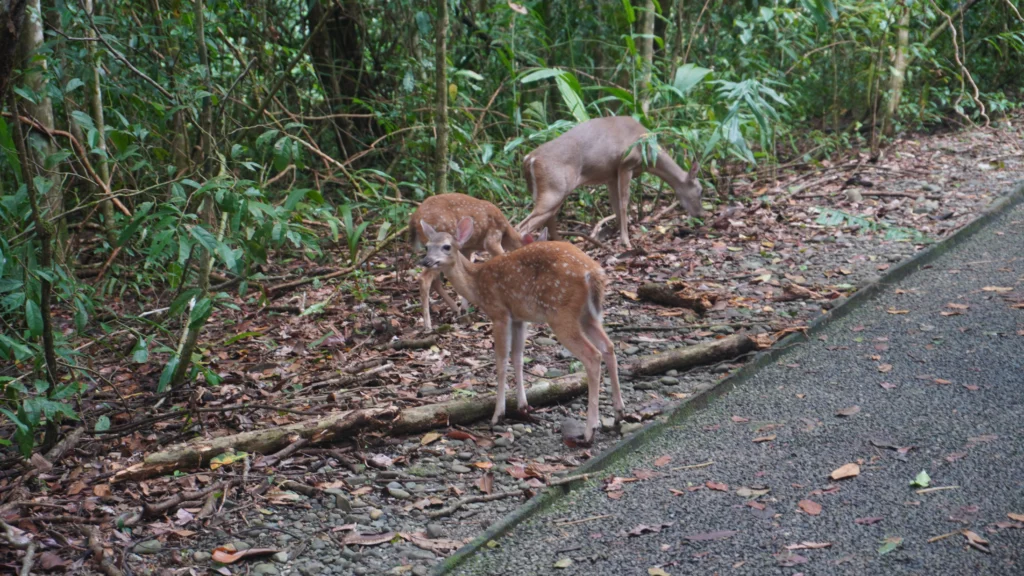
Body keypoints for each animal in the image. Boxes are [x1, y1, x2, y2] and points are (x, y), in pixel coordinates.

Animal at [409, 191, 544, 330]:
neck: (507, 233)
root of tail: (414, 218)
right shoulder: (492, 239)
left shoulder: (467, 248)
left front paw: (465, 311)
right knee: (424, 278)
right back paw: (428, 325)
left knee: (434, 280)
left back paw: (456, 310)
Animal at [419, 216, 618, 444]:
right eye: (426, 246)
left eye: (446, 246)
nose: (426, 261)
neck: (476, 284)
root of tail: (593, 273)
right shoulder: (519, 318)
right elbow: (518, 357)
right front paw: (523, 406)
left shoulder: (500, 313)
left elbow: (501, 361)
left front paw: (498, 414)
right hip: (588, 315)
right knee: (608, 346)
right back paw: (619, 414)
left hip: (561, 314)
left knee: (593, 356)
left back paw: (589, 430)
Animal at [520, 116, 704, 249]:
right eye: (700, 190)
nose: (701, 214)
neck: (649, 155)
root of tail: (529, 159)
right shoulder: (626, 164)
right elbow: (624, 204)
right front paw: (626, 241)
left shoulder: (610, 175)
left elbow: (615, 205)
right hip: (554, 189)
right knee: (522, 226)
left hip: (548, 191)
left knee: (546, 220)